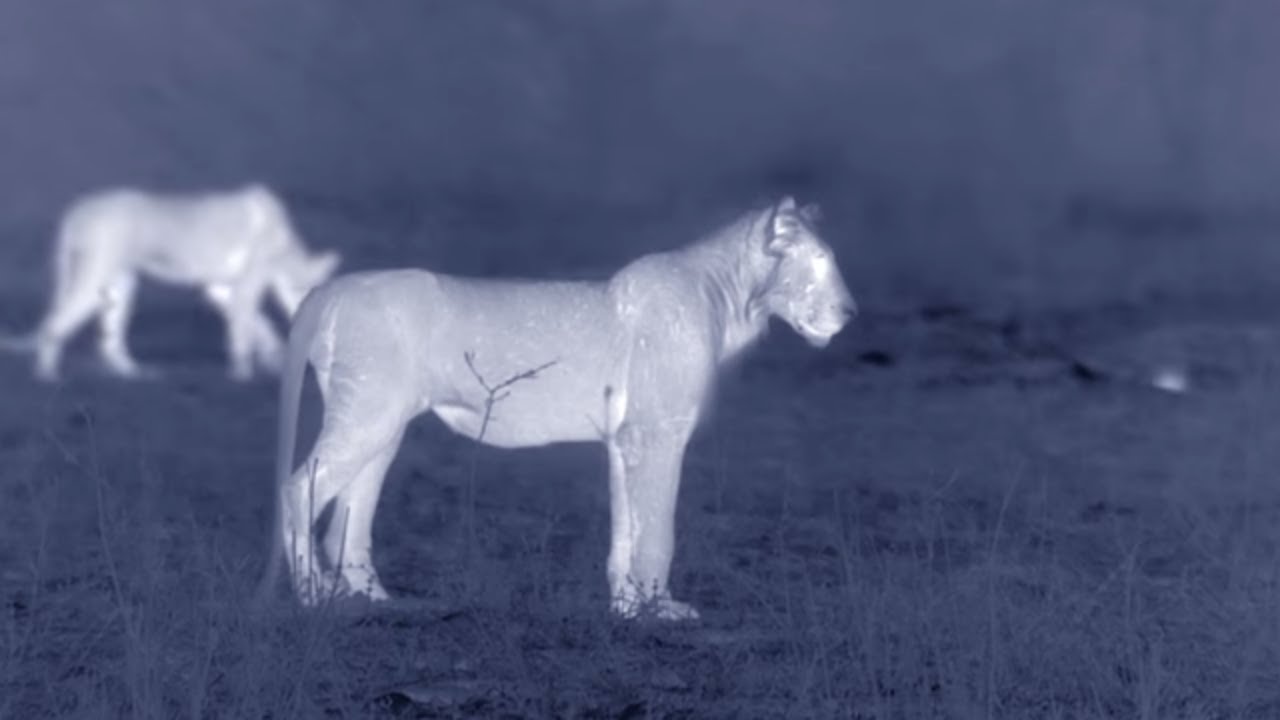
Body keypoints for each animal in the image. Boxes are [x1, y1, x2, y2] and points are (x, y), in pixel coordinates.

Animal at [0, 184, 340, 381]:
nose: (307, 314)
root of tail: (80, 210)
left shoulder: (219, 286)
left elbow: (256, 325)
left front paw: (271, 358)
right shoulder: (245, 284)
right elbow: (244, 328)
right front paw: (243, 373)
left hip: (120, 286)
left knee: (109, 338)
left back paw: (133, 373)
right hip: (95, 276)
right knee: (55, 324)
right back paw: (48, 377)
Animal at [257, 197, 856, 621]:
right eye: (819, 260)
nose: (850, 312)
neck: (730, 299)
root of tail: (333, 288)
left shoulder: (625, 440)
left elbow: (627, 528)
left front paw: (627, 608)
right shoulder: (656, 434)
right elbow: (658, 528)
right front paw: (661, 608)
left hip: (384, 423)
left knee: (349, 510)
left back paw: (374, 598)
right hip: (368, 410)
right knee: (297, 487)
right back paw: (312, 595)